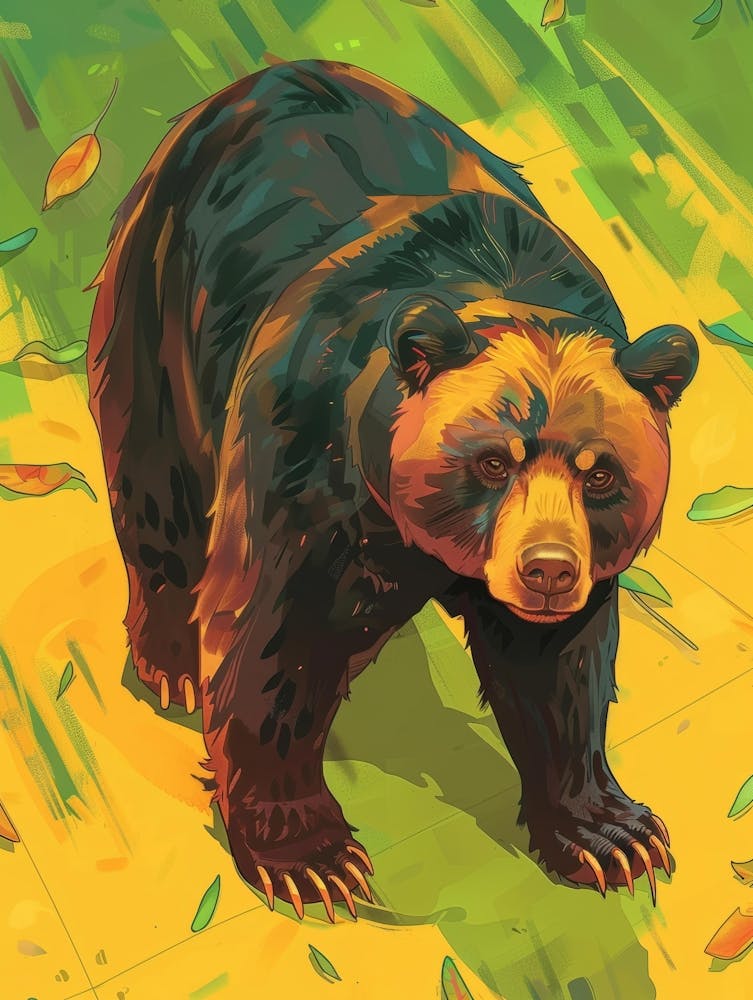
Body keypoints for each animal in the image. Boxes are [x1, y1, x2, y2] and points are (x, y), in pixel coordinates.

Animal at [86, 60, 698, 920]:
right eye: (491, 461)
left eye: (600, 472)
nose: (546, 570)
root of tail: (254, 80)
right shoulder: (307, 465)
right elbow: (275, 636)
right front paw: (311, 858)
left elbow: (559, 670)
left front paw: (610, 834)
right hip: (160, 298)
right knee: (153, 477)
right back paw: (167, 652)